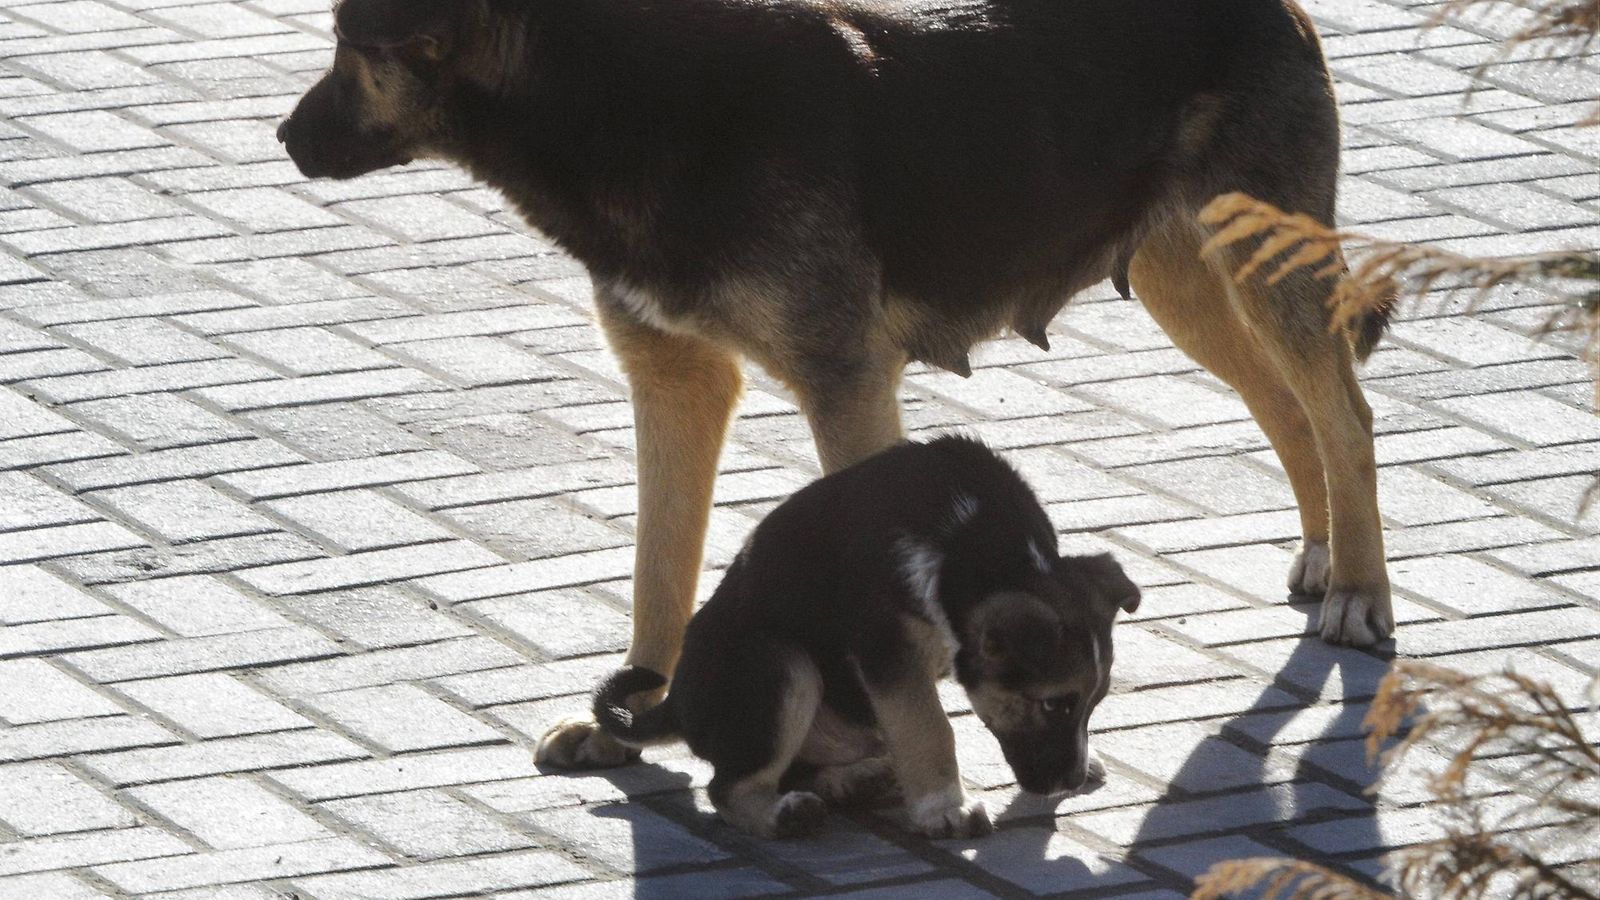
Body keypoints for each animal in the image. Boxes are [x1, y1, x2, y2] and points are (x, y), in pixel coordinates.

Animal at [281, 1, 1395, 771]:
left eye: (352, 46)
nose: (285, 142)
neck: (621, 89)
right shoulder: (674, 383)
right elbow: (657, 567)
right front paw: (638, 713)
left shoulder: (846, 385)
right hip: (1187, 282)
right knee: (1289, 407)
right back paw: (1322, 554)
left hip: (1258, 272)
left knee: (1344, 414)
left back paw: (1357, 590)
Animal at [592, 435, 1139, 832]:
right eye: (1054, 704)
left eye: (1092, 703)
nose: (1070, 780)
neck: (970, 538)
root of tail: (677, 704)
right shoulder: (890, 653)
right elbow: (929, 727)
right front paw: (946, 809)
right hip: (780, 662)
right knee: (728, 787)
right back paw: (787, 814)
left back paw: (861, 779)